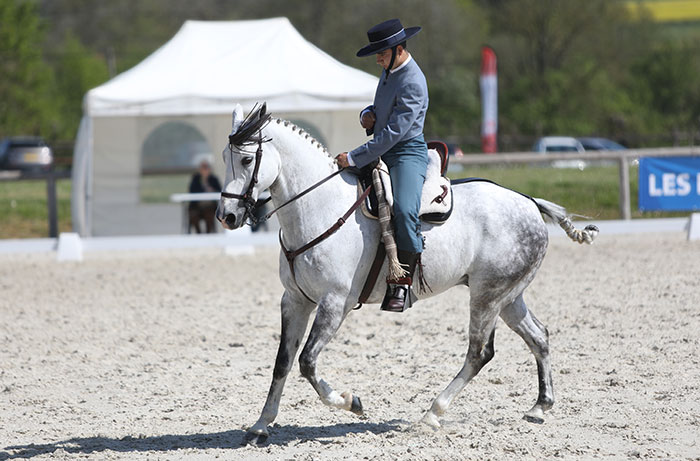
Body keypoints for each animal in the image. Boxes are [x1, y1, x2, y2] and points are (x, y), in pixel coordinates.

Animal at [217, 103, 596, 442]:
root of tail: (530, 202)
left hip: (487, 296)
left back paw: (433, 413)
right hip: (508, 296)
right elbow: (283, 361)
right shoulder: (295, 300)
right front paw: (260, 426)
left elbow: (307, 362)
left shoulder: (334, 303)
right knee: (538, 336)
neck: (321, 207)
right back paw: (539, 407)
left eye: (247, 159)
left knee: (479, 352)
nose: (227, 216)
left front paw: (351, 402)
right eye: (225, 157)